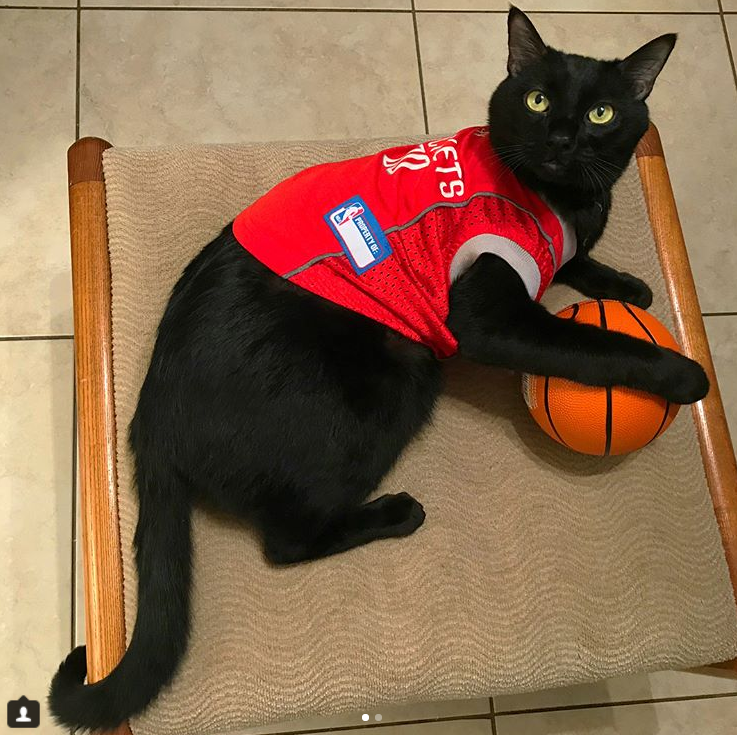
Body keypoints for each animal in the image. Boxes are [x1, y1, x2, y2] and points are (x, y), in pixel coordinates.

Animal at [49, 8, 704, 732]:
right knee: (286, 541)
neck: (561, 197)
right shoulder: (488, 318)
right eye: (537, 100)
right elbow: (592, 343)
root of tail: (149, 421)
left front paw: (625, 287)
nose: (561, 137)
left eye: (600, 112)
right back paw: (396, 513)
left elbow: (576, 263)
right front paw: (682, 373)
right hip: (398, 376)